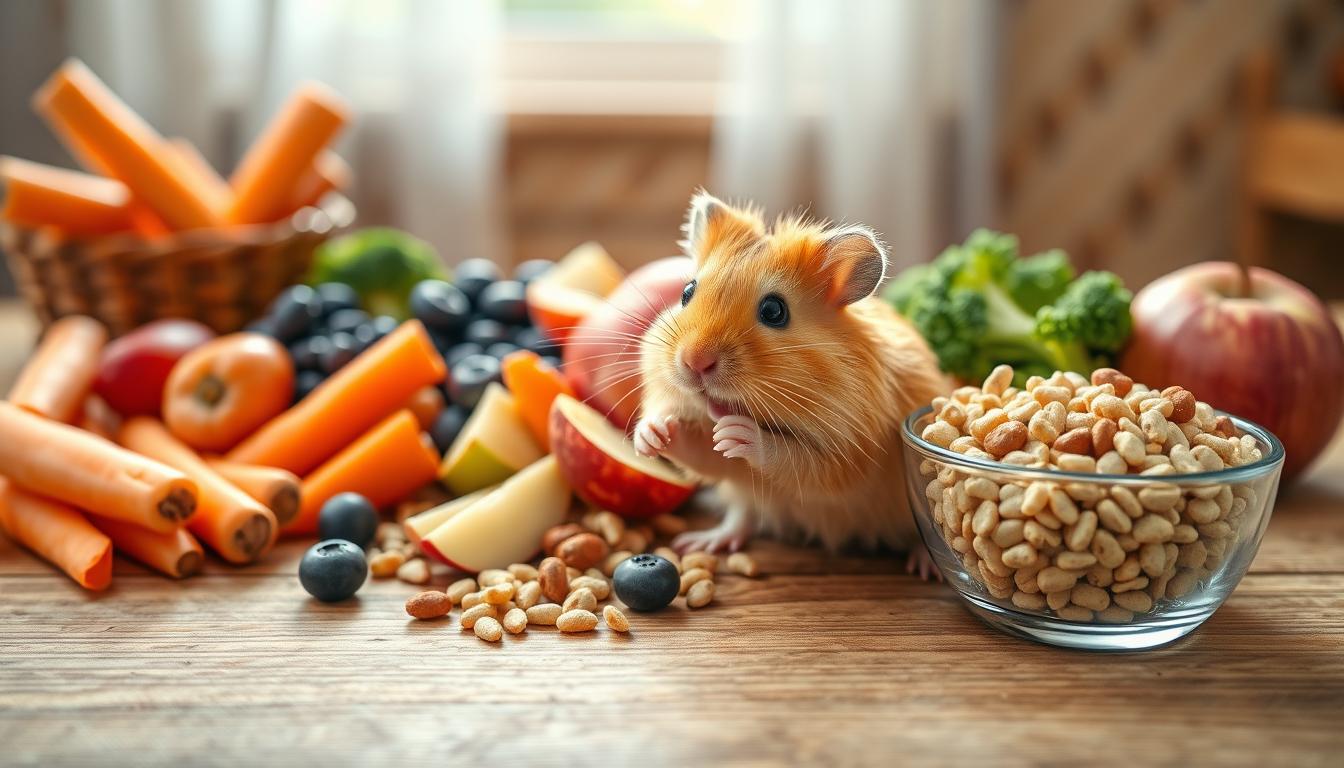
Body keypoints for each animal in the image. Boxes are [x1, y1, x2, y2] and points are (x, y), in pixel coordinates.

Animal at [634, 191, 948, 575]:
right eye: (686, 292)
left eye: (774, 311)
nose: (694, 362)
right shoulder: (728, 464)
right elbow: (703, 453)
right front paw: (652, 434)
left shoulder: (849, 456)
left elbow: (793, 458)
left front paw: (737, 433)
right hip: (742, 498)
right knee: (742, 517)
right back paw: (703, 541)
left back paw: (926, 567)